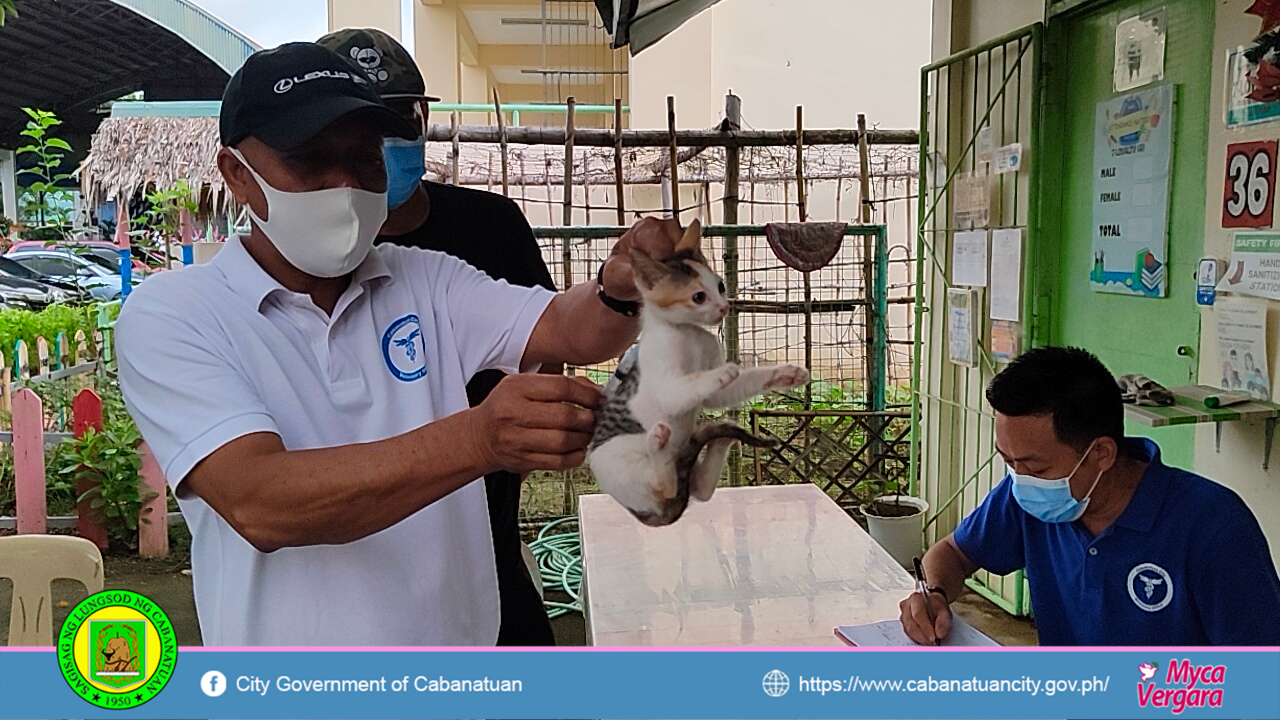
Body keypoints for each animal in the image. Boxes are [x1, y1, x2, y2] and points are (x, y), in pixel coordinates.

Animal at [588, 215, 808, 525]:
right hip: (617, 458)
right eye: (698, 297)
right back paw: (658, 447)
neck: (688, 333)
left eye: (720, 287)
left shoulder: (713, 391)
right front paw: (723, 372)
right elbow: (686, 386)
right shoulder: (666, 383)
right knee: (664, 486)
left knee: (699, 489)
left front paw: (784, 374)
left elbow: (726, 391)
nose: (724, 308)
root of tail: (653, 513)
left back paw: (721, 439)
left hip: (685, 474)